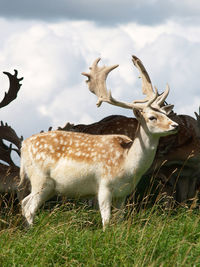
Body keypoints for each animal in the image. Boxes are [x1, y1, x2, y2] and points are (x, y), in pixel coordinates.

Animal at [19, 57, 178, 229]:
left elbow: (120, 219)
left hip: (49, 187)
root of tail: (23, 146)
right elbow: (106, 220)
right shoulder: (104, 186)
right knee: (29, 208)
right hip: (40, 179)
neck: (127, 164)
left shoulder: (123, 193)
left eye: (165, 114)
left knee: (24, 203)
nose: (175, 125)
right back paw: (32, 231)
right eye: (152, 117)